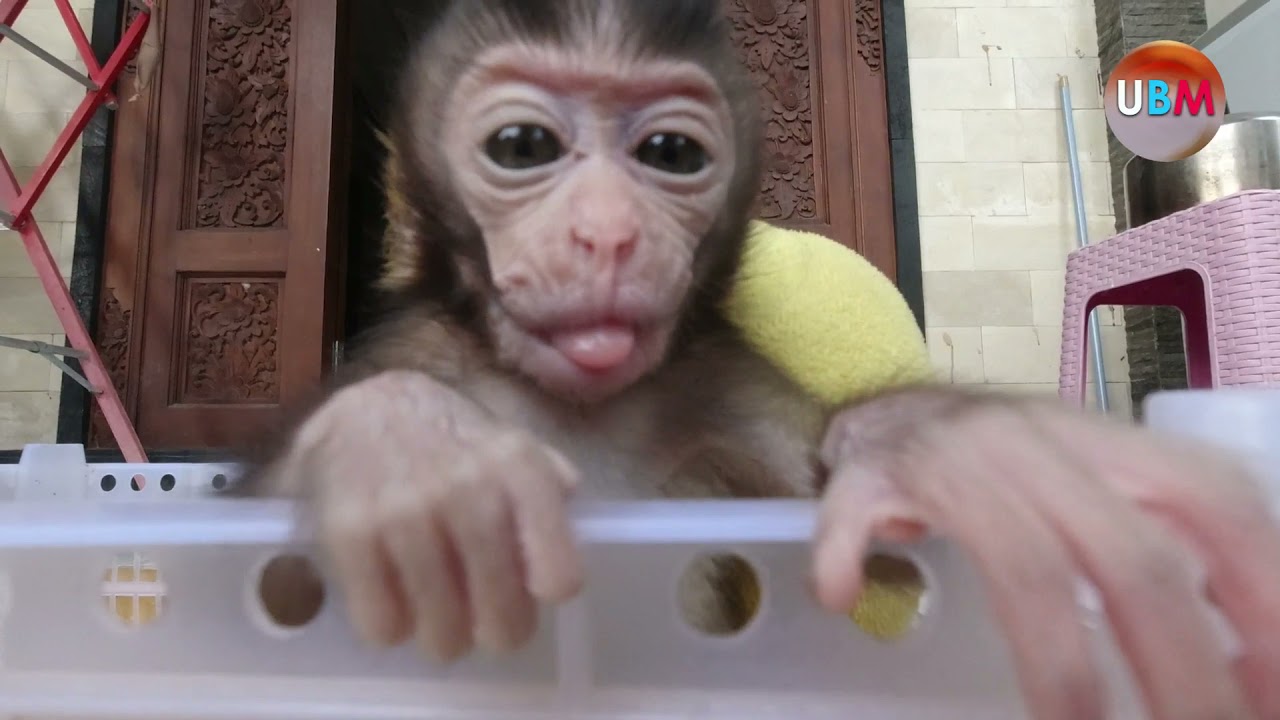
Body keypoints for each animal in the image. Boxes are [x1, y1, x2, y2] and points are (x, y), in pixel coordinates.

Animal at [235, 2, 1280, 719]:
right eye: (523, 145)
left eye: (669, 153)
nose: (608, 235)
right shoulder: (416, 346)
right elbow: (273, 600)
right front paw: (409, 453)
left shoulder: (719, 378)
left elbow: (875, 572)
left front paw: (945, 452)